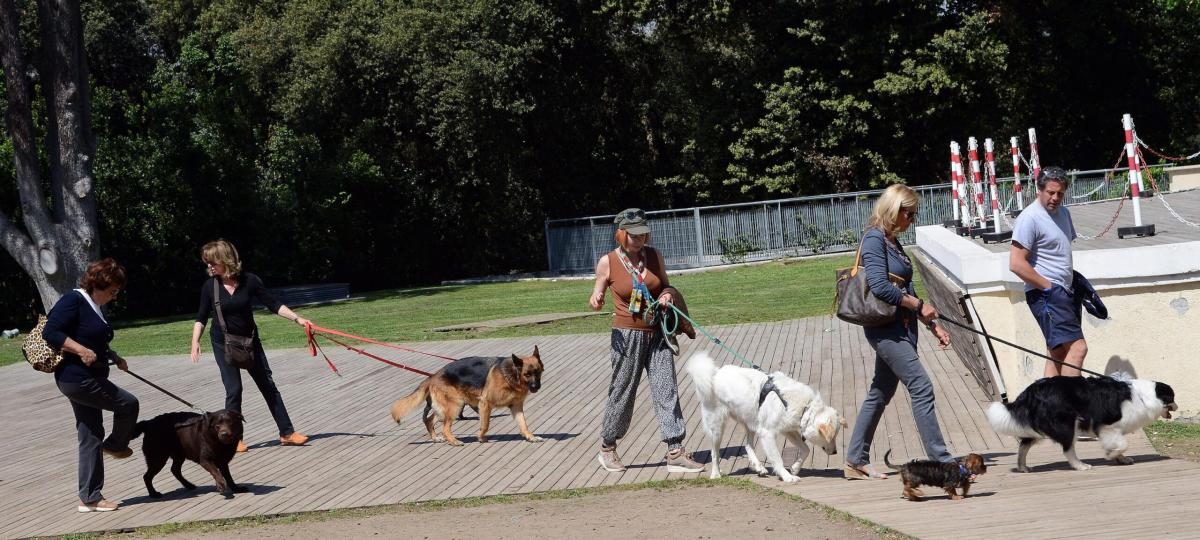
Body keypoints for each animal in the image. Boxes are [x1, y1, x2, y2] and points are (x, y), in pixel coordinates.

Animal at [388, 345, 544, 446]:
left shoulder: (516, 407)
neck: (511, 375)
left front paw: (530, 437)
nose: (536, 387)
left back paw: (436, 438)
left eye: (538, 372)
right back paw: (454, 441)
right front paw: (481, 437)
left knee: (429, 420)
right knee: (445, 428)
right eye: (527, 374)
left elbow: (523, 424)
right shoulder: (485, 404)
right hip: (455, 406)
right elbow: (485, 424)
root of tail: (433, 376)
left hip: (445, 408)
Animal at [686, 352, 844, 482]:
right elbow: (778, 459)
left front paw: (795, 468)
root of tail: (714, 374)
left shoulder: (788, 430)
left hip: (751, 421)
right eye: (832, 437)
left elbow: (806, 449)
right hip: (717, 428)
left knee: (748, 445)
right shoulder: (768, 433)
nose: (835, 452)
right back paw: (716, 474)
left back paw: (759, 467)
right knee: (714, 453)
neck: (805, 407)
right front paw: (787, 477)